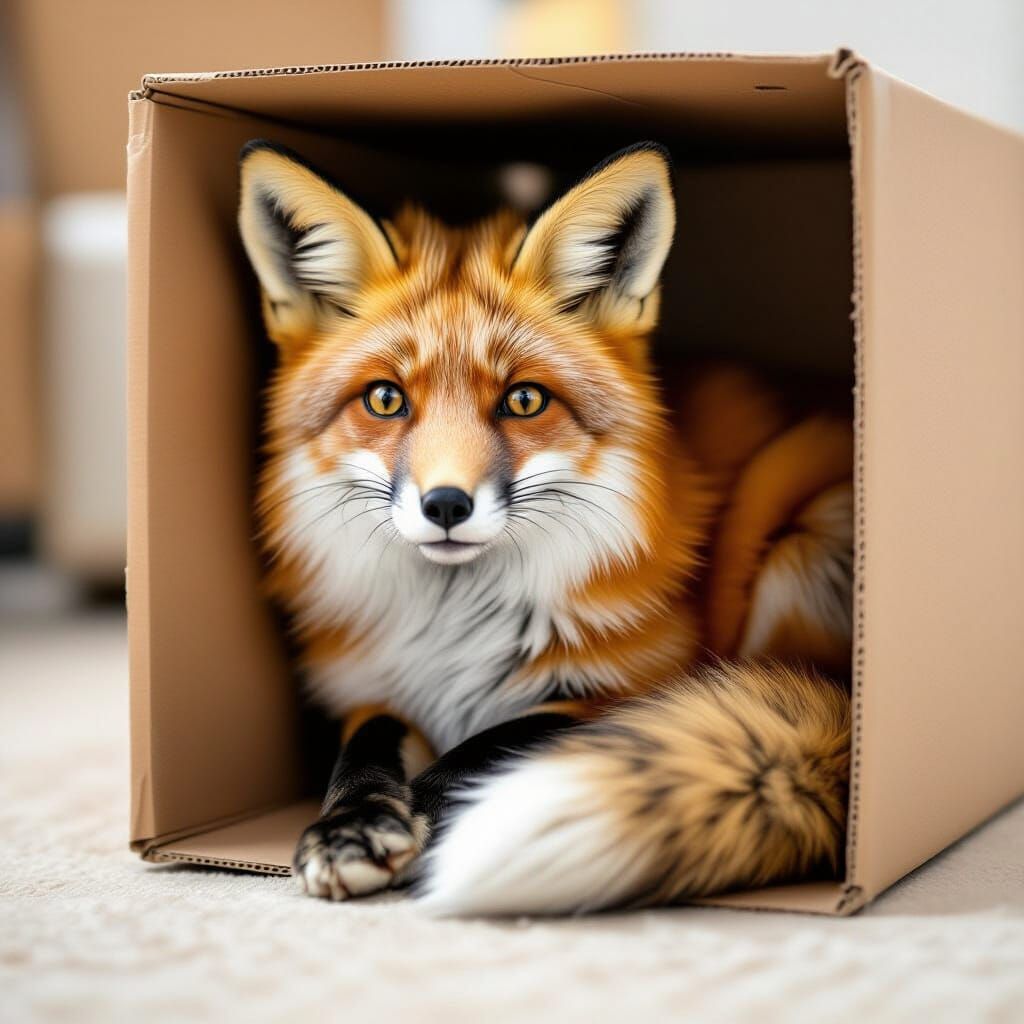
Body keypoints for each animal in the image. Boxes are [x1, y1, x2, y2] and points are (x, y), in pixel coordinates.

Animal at [237, 138, 853, 915]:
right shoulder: (374, 689)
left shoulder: (637, 687)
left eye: (524, 400)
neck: (452, 629)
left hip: (796, 542)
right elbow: (365, 751)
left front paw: (424, 819)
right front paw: (351, 825)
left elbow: (485, 750)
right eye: (385, 399)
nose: (446, 505)